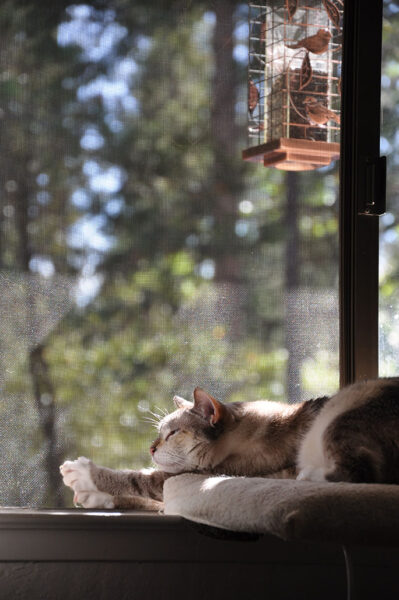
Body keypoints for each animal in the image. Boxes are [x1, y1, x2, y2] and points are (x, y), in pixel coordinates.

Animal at [59, 378, 399, 508]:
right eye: (159, 434)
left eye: (172, 433)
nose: (151, 448)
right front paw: (93, 498)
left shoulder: (193, 475)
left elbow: (138, 480)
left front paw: (82, 476)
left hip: (342, 417)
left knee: (355, 473)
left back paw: (303, 477)